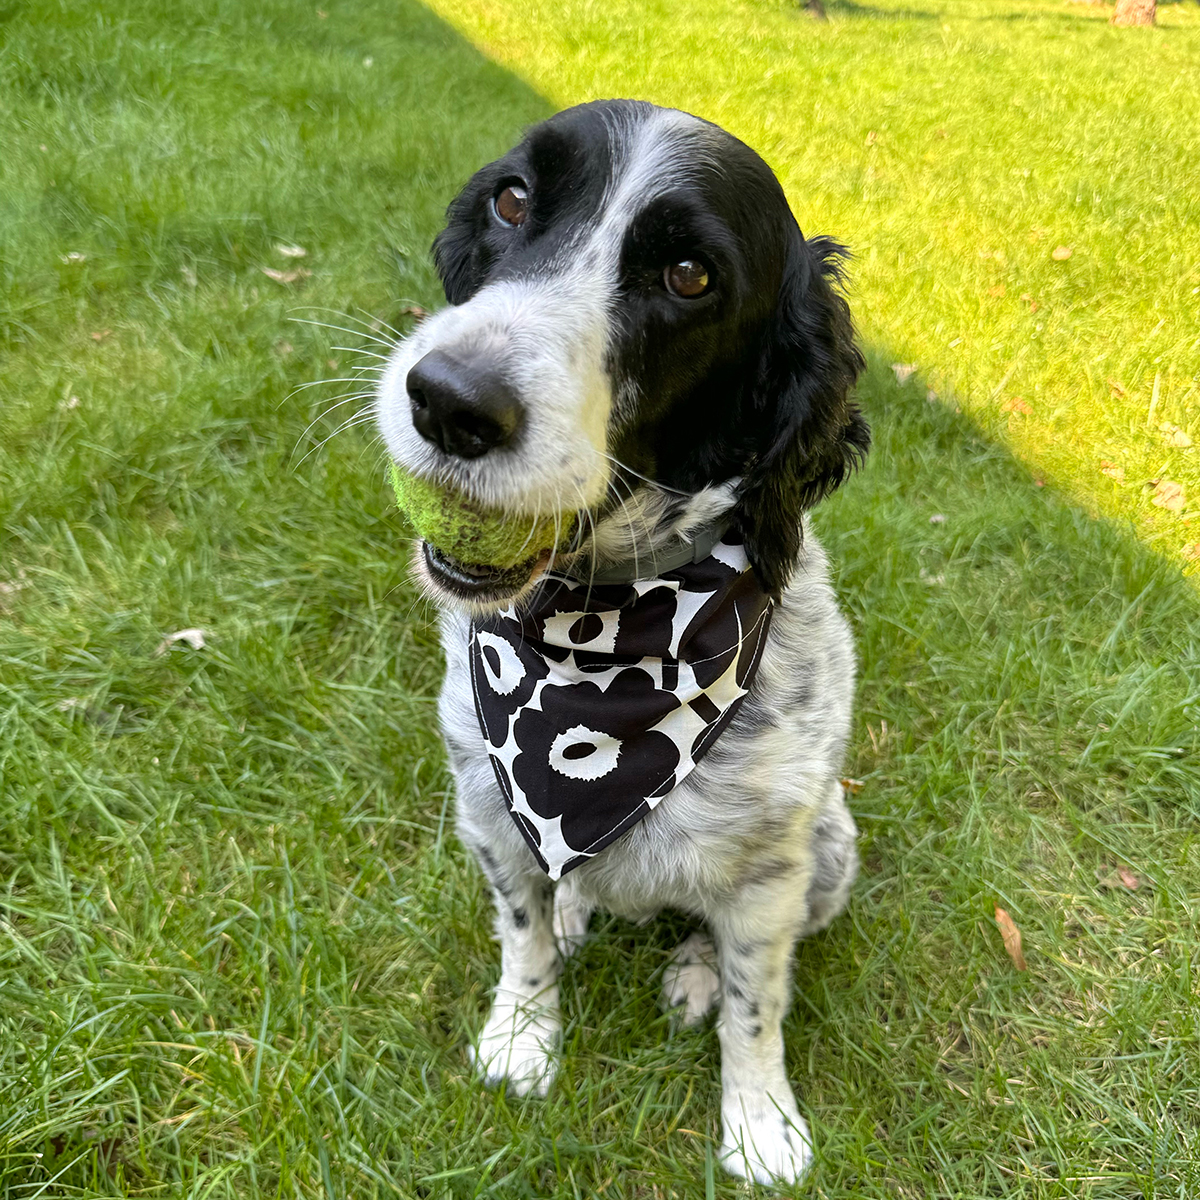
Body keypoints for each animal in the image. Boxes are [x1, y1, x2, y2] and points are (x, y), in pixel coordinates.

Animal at [369, 98, 868, 1185]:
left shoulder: (773, 872)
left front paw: (759, 1121)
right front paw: (522, 1038)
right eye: (513, 200)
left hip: (832, 851)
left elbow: (757, 1008)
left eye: (689, 276)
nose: (449, 399)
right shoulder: (486, 803)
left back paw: (692, 972)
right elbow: (520, 936)